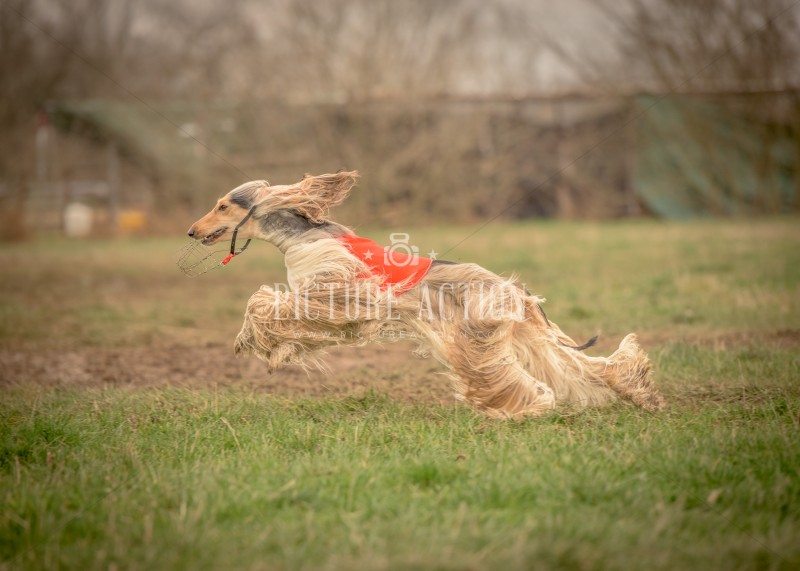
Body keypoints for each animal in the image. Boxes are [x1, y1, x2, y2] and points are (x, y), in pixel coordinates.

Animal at [188, 171, 664, 418]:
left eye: (223, 205)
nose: (191, 231)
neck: (299, 237)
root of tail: (513, 287)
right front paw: (274, 348)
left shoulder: (338, 291)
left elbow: (264, 305)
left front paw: (255, 339)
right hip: (524, 339)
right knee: (582, 368)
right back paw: (639, 391)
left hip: (472, 338)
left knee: (505, 377)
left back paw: (523, 406)